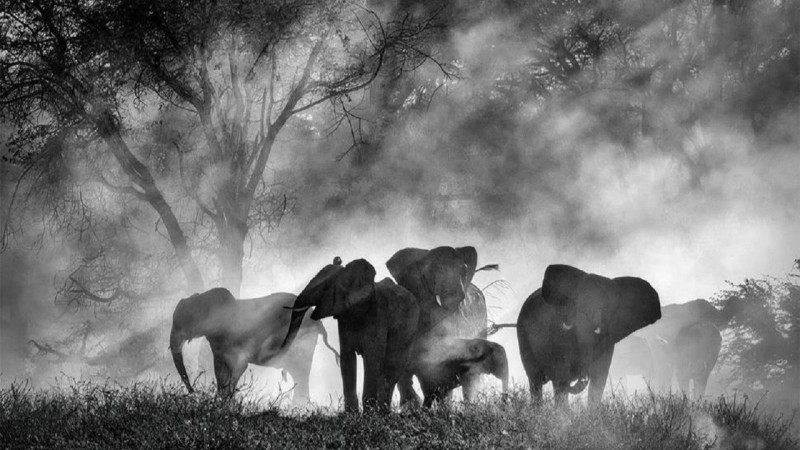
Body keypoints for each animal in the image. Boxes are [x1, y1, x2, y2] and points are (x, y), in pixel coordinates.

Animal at [169, 287, 338, 401]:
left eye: (182, 323)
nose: (194, 392)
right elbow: (220, 369)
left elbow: (239, 366)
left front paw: (225, 402)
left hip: (302, 341)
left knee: (301, 372)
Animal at [281, 257, 420, 412]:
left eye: (325, 288)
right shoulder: (344, 318)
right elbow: (347, 358)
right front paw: (351, 414)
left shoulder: (377, 315)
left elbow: (372, 358)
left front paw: (369, 414)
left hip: (409, 327)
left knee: (391, 367)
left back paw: (384, 412)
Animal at [517, 264, 662, 406]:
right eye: (576, 303)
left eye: (606, 307)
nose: (584, 374)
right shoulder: (557, 335)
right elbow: (561, 376)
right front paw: (563, 414)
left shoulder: (607, 341)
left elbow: (599, 379)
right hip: (523, 337)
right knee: (535, 381)